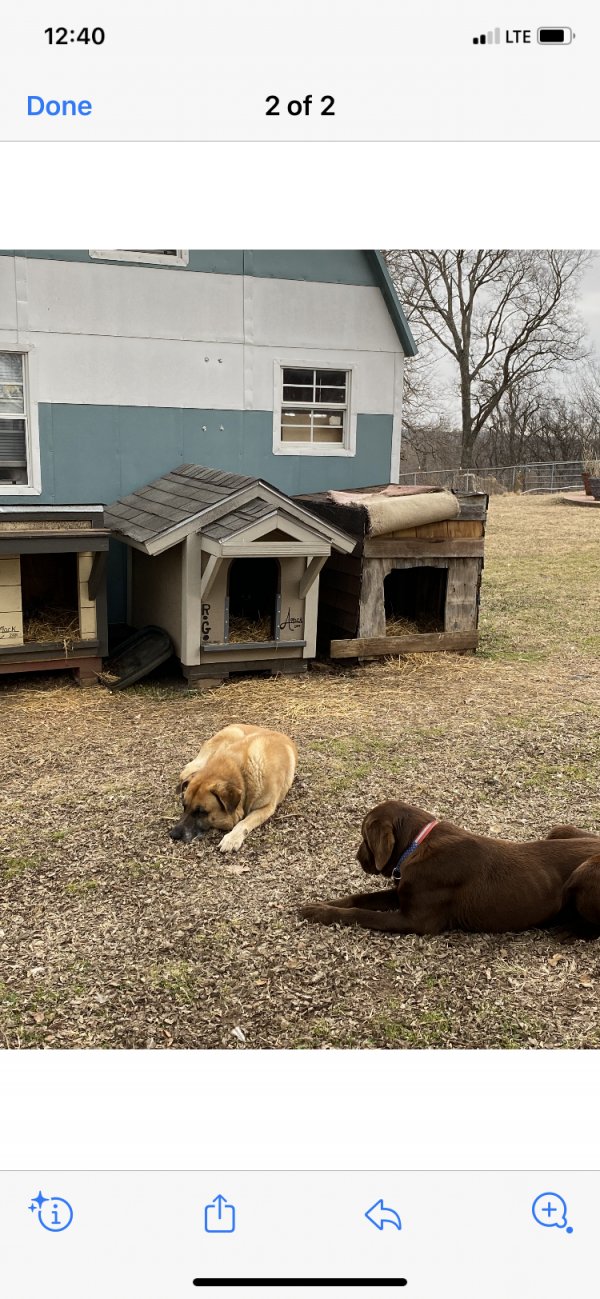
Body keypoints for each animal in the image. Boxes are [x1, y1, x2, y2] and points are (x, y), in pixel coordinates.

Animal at [168, 722, 294, 852]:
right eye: (184, 806)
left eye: (201, 812)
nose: (173, 834)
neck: (243, 773)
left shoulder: (266, 807)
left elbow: (244, 822)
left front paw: (232, 838)